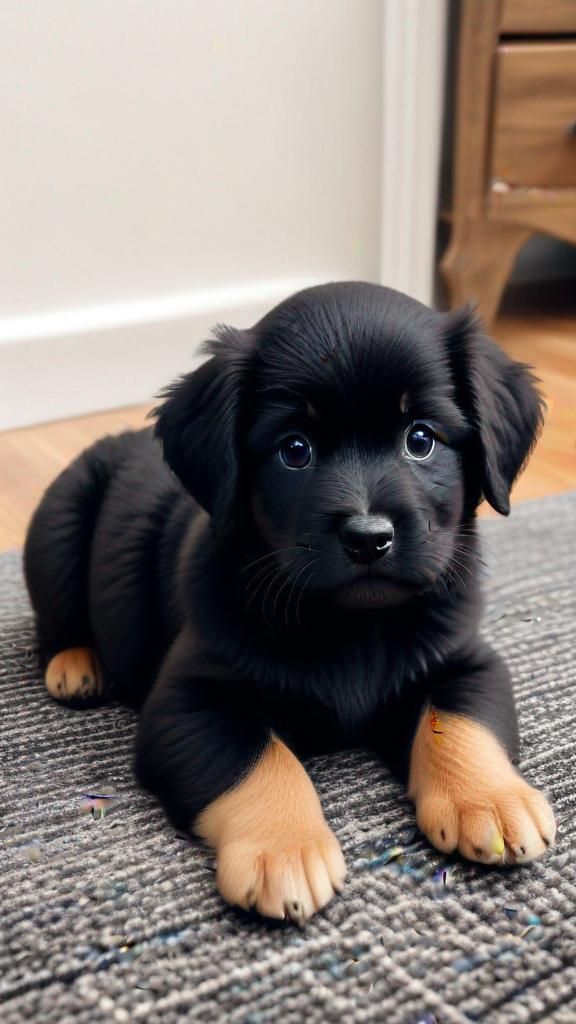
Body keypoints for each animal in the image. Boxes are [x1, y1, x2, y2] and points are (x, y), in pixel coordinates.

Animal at [24, 284, 553, 925]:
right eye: (294, 450)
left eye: (421, 438)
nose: (369, 537)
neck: (351, 625)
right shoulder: (186, 703)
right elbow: (260, 757)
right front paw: (283, 847)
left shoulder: (467, 659)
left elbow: (459, 719)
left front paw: (492, 800)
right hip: (58, 526)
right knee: (54, 622)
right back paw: (76, 663)